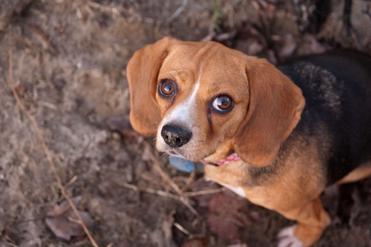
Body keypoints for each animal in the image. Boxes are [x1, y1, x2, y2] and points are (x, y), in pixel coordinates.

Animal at [125, 37, 371, 247]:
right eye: (166, 87)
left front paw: (299, 238)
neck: (231, 156)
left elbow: (319, 222)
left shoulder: (303, 207)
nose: (173, 135)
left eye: (223, 102)